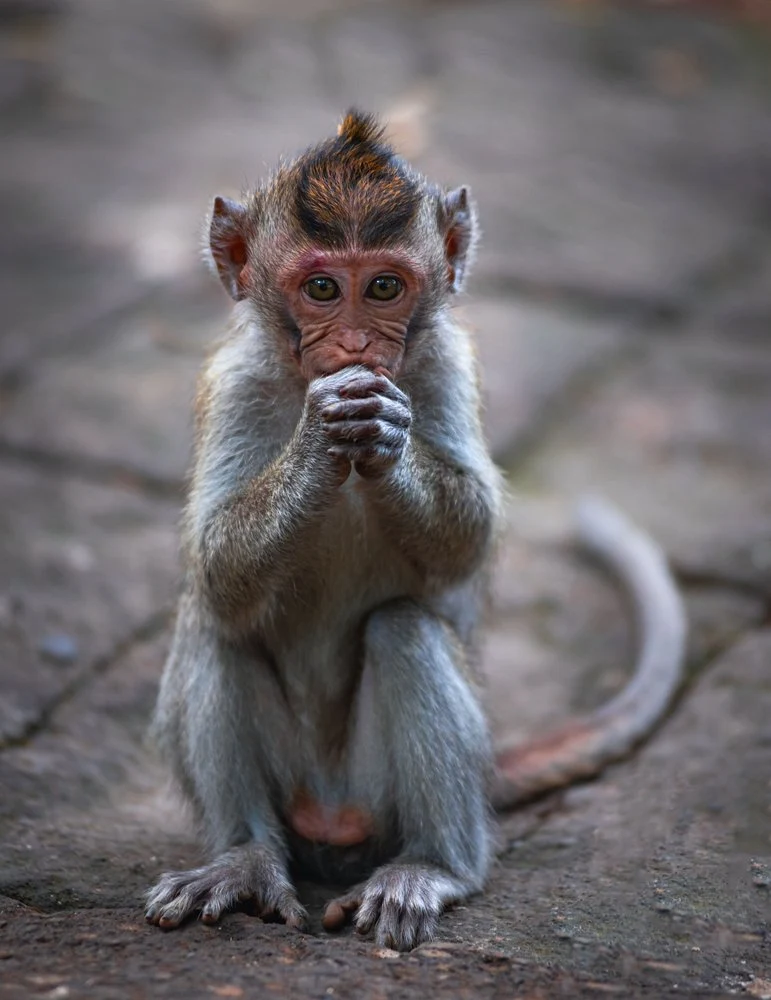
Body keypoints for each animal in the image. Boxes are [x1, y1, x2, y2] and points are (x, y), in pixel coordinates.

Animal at [144, 111, 687, 951]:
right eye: (323, 288)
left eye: (384, 287)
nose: (357, 348)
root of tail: (330, 814)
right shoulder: (234, 381)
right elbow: (213, 566)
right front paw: (319, 438)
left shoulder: (446, 364)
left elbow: (472, 535)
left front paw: (386, 437)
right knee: (213, 622)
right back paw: (242, 861)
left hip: (381, 796)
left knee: (404, 630)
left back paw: (433, 868)